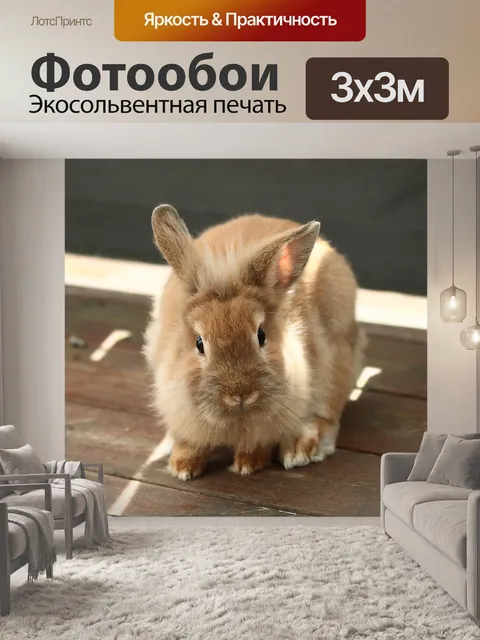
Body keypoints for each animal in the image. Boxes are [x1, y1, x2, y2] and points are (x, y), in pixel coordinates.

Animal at [143, 204, 365, 480]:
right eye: (199, 343)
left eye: (261, 335)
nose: (240, 395)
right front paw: (182, 467)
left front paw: (247, 464)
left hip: (338, 364)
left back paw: (300, 450)